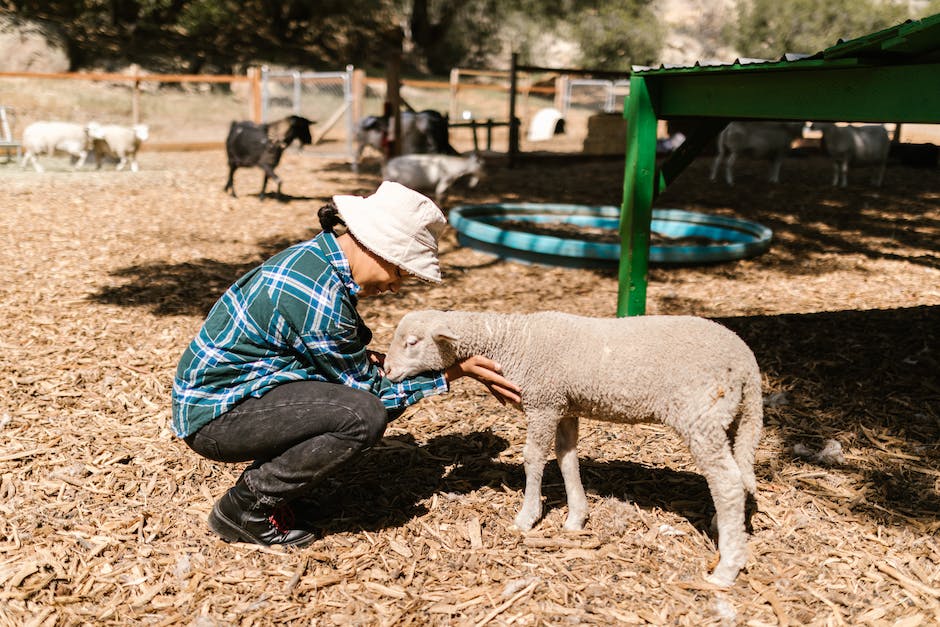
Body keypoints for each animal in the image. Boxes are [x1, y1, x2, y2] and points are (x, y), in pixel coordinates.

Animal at [382, 310, 764, 588]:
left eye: (412, 342)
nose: (385, 369)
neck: (510, 339)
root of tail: (748, 363)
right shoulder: (564, 406)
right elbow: (567, 459)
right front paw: (576, 517)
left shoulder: (543, 402)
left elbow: (534, 458)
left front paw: (527, 516)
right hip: (729, 418)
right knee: (735, 473)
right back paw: (726, 526)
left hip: (700, 414)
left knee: (728, 481)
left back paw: (727, 568)